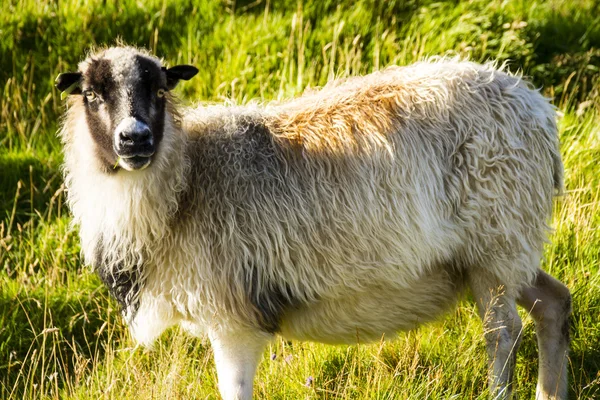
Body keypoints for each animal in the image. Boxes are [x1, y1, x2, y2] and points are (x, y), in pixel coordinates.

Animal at [56, 47, 572, 400]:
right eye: (93, 95)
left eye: (160, 90)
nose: (135, 140)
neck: (186, 184)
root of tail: (536, 106)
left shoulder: (233, 320)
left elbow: (235, 391)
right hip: (503, 248)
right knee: (553, 302)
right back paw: (550, 392)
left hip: (495, 241)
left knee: (502, 333)